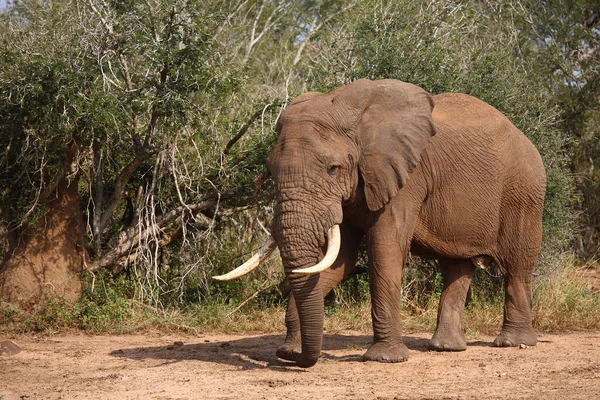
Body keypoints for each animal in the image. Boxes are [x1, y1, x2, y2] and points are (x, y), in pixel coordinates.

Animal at [217, 79, 548, 368]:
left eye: (332, 169)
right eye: (271, 170)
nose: (292, 358)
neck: (352, 114)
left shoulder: (406, 176)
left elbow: (384, 249)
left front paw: (385, 359)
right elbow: (342, 260)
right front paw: (290, 351)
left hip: (524, 191)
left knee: (517, 264)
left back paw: (513, 342)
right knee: (457, 266)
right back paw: (445, 347)